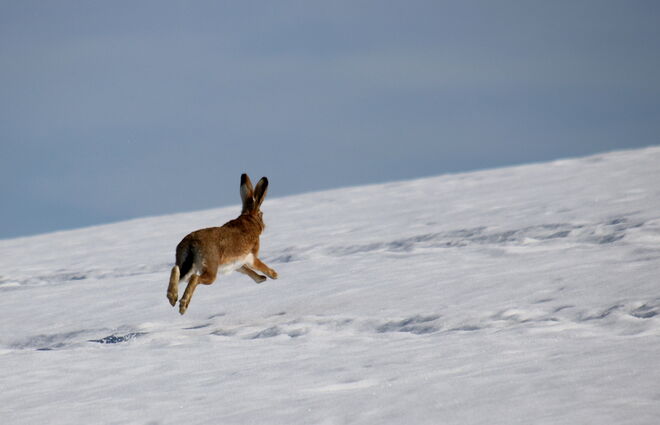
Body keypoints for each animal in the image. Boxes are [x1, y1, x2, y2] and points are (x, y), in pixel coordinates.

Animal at [167, 174, 278, 314]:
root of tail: (191, 243)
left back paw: (173, 298)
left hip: (187, 265)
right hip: (210, 270)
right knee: (194, 278)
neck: (249, 220)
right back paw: (183, 306)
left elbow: (247, 271)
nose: (264, 226)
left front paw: (261, 279)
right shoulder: (251, 257)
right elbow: (258, 266)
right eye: (262, 214)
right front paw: (274, 275)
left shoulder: (238, 263)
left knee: (175, 270)